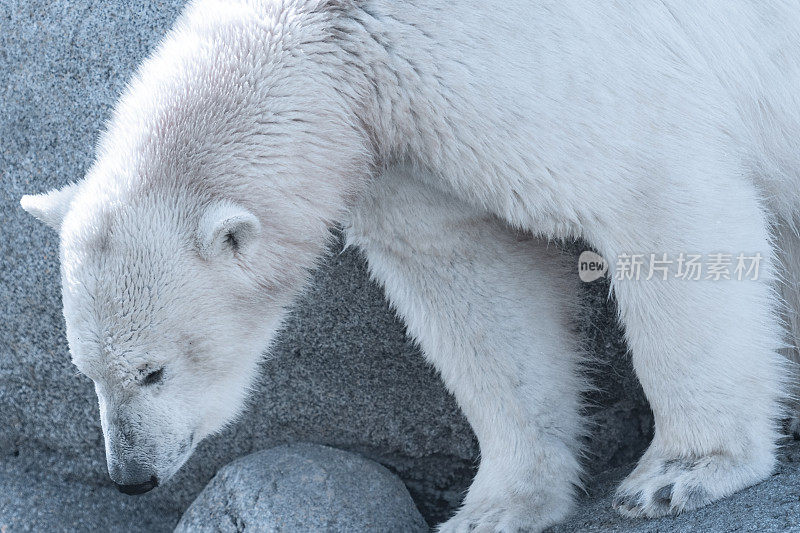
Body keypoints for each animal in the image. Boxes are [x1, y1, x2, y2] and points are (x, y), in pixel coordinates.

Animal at [17, 0, 800, 528]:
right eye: (86, 371)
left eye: (154, 370)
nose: (132, 476)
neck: (342, 37)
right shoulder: (404, 140)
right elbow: (470, 277)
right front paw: (492, 509)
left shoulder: (539, 67)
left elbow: (659, 202)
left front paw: (678, 475)